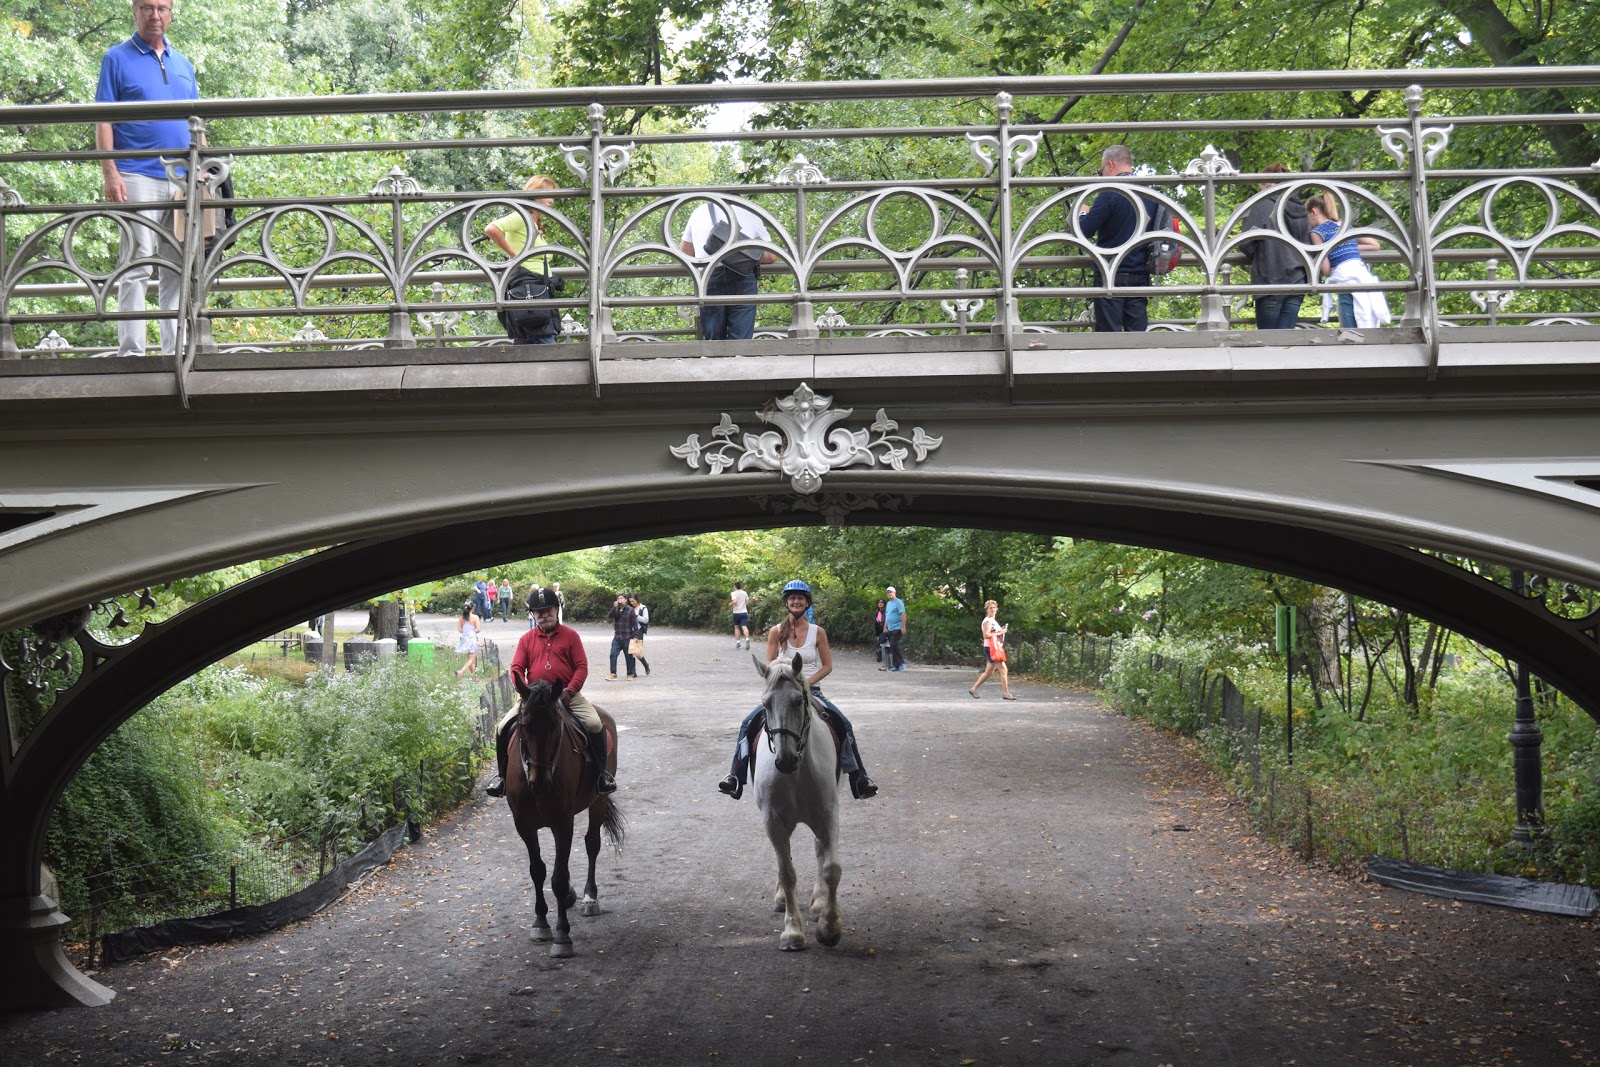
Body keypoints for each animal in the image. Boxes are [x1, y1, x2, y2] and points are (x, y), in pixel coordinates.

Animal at [505, 681, 624, 966]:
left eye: (554, 726)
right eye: (525, 725)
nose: (540, 782)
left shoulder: (562, 822)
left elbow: (558, 877)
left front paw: (562, 938)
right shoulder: (523, 824)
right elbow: (537, 870)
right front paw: (540, 924)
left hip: (599, 800)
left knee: (592, 844)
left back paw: (589, 899)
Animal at [752, 652, 844, 953]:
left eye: (797, 701)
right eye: (765, 704)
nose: (784, 760)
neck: (796, 773)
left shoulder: (828, 816)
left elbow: (831, 868)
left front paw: (829, 927)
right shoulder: (774, 822)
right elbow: (787, 872)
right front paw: (792, 932)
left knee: (818, 850)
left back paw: (818, 903)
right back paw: (783, 898)